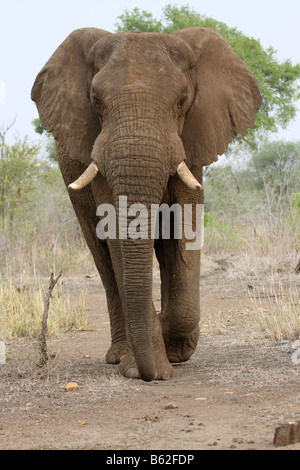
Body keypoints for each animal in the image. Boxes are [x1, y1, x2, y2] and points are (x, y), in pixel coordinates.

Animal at [30, 25, 260, 382]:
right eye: (96, 100)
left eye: (182, 101)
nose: (150, 374)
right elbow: (115, 233)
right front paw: (146, 367)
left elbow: (185, 226)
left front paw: (172, 350)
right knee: (103, 259)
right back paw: (118, 355)